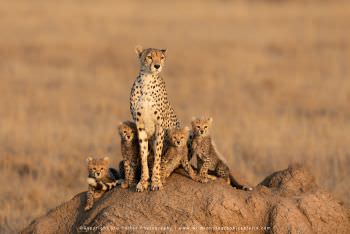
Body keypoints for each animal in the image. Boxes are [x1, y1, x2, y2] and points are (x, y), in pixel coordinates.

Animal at [129, 45, 180, 192]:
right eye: (149, 57)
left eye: (161, 57)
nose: (157, 66)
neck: (147, 79)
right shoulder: (139, 124)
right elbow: (143, 154)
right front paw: (143, 181)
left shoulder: (159, 125)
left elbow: (157, 155)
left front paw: (156, 181)